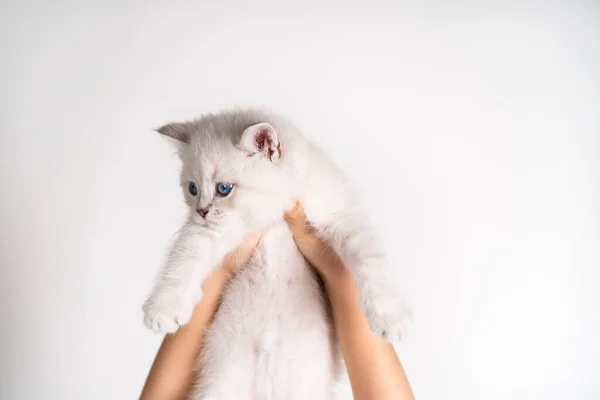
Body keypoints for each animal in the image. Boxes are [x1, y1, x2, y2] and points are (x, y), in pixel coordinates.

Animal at [143, 108, 410, 398]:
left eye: (223, 189)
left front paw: (389, 317)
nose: (201, 211)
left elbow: (370, 261)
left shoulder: (342, 218)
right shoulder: (209, 233)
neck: (272, 213)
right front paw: (163, 310)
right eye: (193, 189)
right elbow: (183, 261)